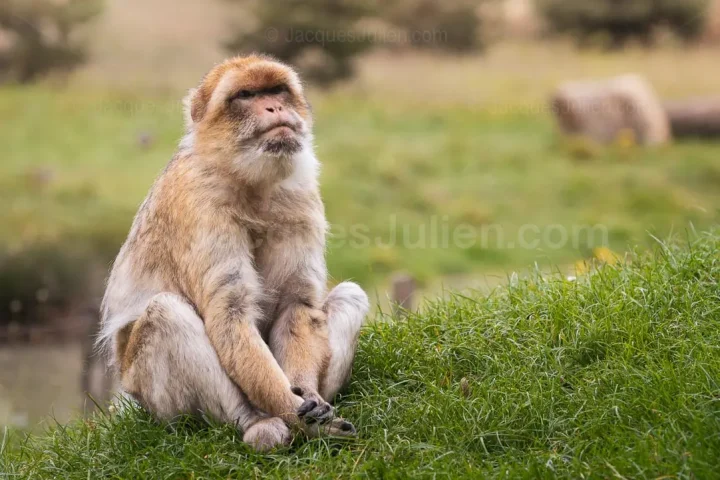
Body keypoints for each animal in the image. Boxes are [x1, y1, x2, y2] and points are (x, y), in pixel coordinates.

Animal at [97, 55, 369, 451]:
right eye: (246, 95)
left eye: (276, 90)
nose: (275, 108)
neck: (249, 182)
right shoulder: (199, 204)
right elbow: (230, 314)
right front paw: (293, 410)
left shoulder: (300, 198)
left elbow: (297, 305)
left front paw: (310, 398)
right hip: (153, 399)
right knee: (165, 313)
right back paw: (258, 424)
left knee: (352, 293)